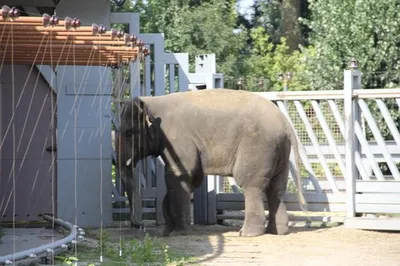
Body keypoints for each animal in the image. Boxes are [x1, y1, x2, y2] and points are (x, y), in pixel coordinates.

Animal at [116, 89, 310, 237]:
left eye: (129, 132)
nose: (140, 226)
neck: (152, 101)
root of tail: (286, 124)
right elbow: (191, 178)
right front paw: (169, 231)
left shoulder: (177, 139)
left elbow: (179, 175)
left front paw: (178, 233)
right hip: (279, 151)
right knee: (276, 188)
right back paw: (277, 232)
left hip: (259, 146)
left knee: (251, 185)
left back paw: (247, 234)